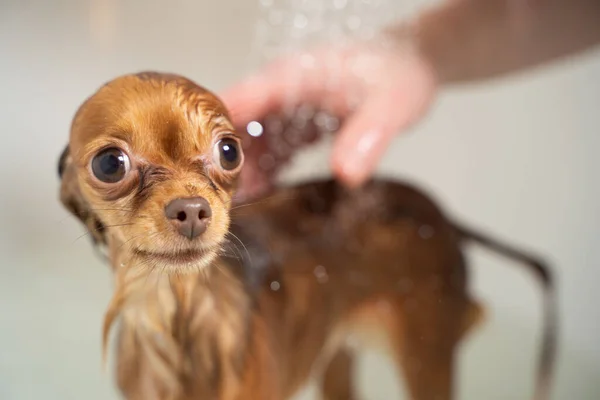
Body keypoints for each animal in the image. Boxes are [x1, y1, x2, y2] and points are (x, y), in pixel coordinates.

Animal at [58, 72, 556, 400]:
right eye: (110, 164)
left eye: (229, 150)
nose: (192, 209)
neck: (177, 316)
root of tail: (437, 211)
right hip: (338, 353)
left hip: (426, 349)